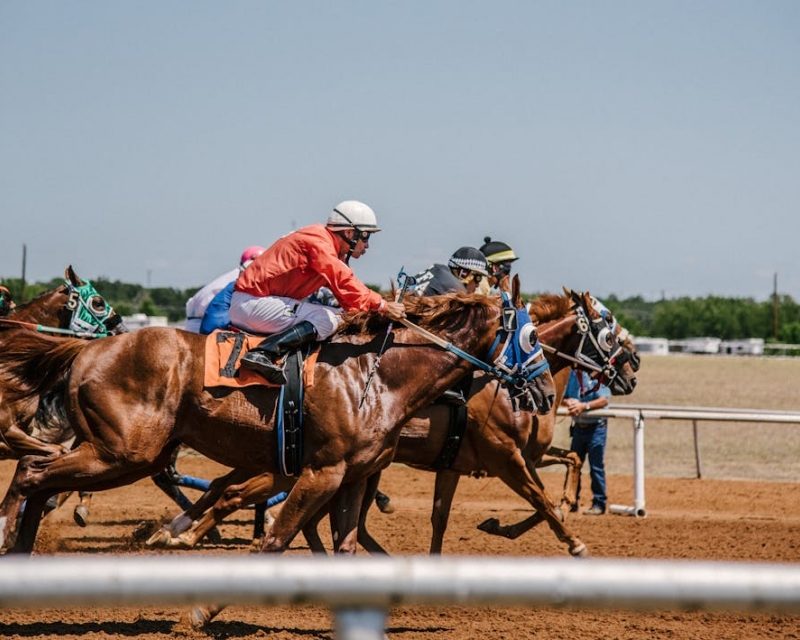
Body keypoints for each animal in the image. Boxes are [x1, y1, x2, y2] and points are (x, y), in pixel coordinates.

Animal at [0, 288, 552, 556]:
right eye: (531, 337)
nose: (547, 393)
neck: (376, 376)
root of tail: (88, 348)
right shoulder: (322, 471)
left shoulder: (350, 474)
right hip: (123, 453)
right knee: (32, 472)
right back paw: (9, 535)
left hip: (130, 454)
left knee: (41, 478)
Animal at [150, 288, 636, 556]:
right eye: (609, 329)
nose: (630, 373)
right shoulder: (504, 455)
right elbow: (542, 500)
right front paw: (572, 540)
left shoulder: (466, 463)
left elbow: (445, 516)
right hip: (294, 463)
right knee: (237, 493)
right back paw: (181, 534)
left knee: (242, 493)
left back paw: (177, 531)